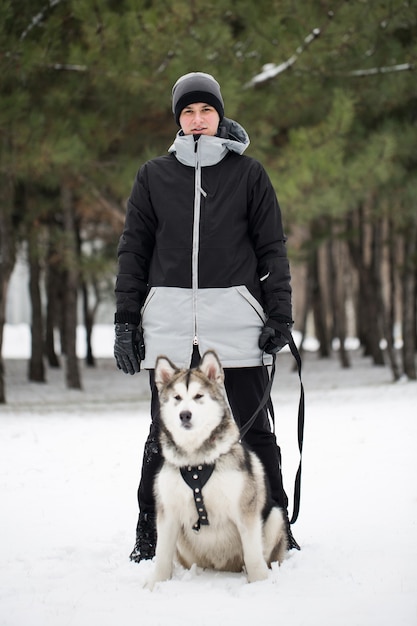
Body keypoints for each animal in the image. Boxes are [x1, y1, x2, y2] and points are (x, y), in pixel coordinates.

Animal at [145, 348, 288, 588]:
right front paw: (154, 584)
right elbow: (162, 555)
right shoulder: (168, 513)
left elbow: (252, 554)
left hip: (275, 517)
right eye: (177, 398)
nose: (185, 414)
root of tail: (222, 567)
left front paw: (259, 583)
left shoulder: (245, 510)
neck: (195, 462)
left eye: (198, 396)